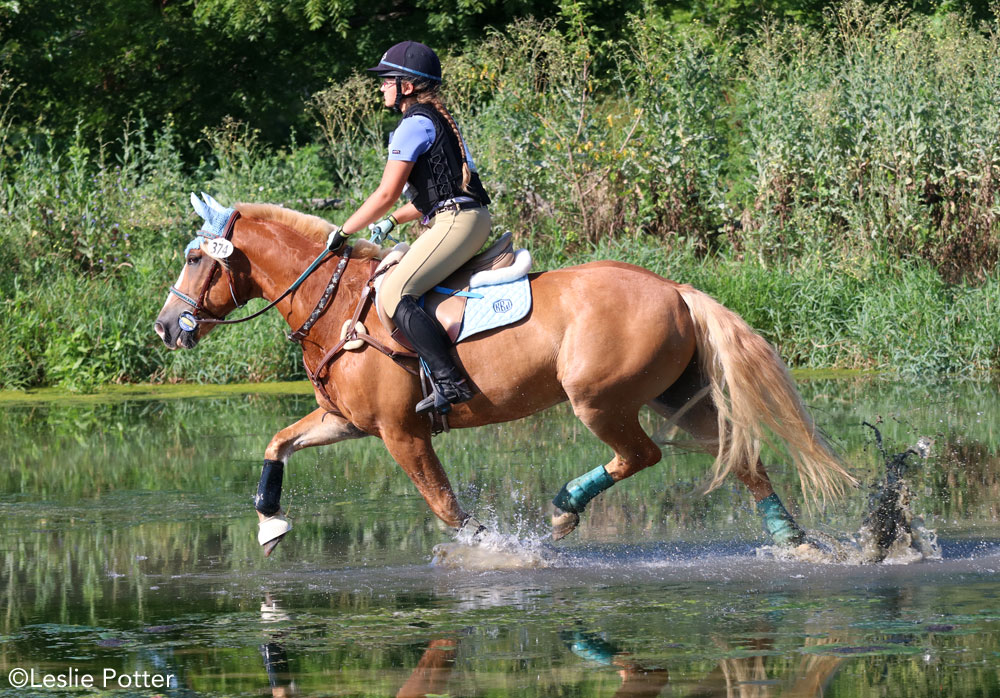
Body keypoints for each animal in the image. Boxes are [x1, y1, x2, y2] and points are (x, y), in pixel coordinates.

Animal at [152, 198, 856, 552]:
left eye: (196, 258)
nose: (165, 328)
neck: (340, 302)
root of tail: (673, 290)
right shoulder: (346, 421)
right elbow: (278, 443)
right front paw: (269, 523)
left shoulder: (402, 434)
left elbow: (445, 506)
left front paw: (488, 547)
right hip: (674, 397)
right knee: (741, 460)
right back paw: (793, 541)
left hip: (600, 400)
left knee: (643, 455)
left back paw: (565, 511)